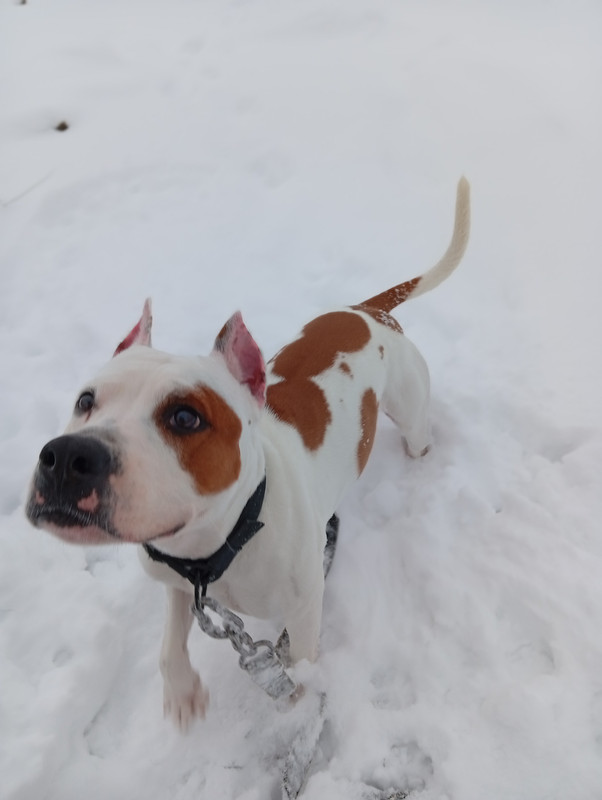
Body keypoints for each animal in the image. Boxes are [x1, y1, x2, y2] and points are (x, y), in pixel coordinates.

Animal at [26, 178, 470, 730]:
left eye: (186, 417)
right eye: (85, 401)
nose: (67, 457)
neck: (221, 544)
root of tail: (370, 311)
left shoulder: (304, 610)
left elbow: (298, 666)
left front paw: (299, 711)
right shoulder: (175, 580)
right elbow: (168, 646)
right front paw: (183, 693)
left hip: (410, 412)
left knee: (417, 434)